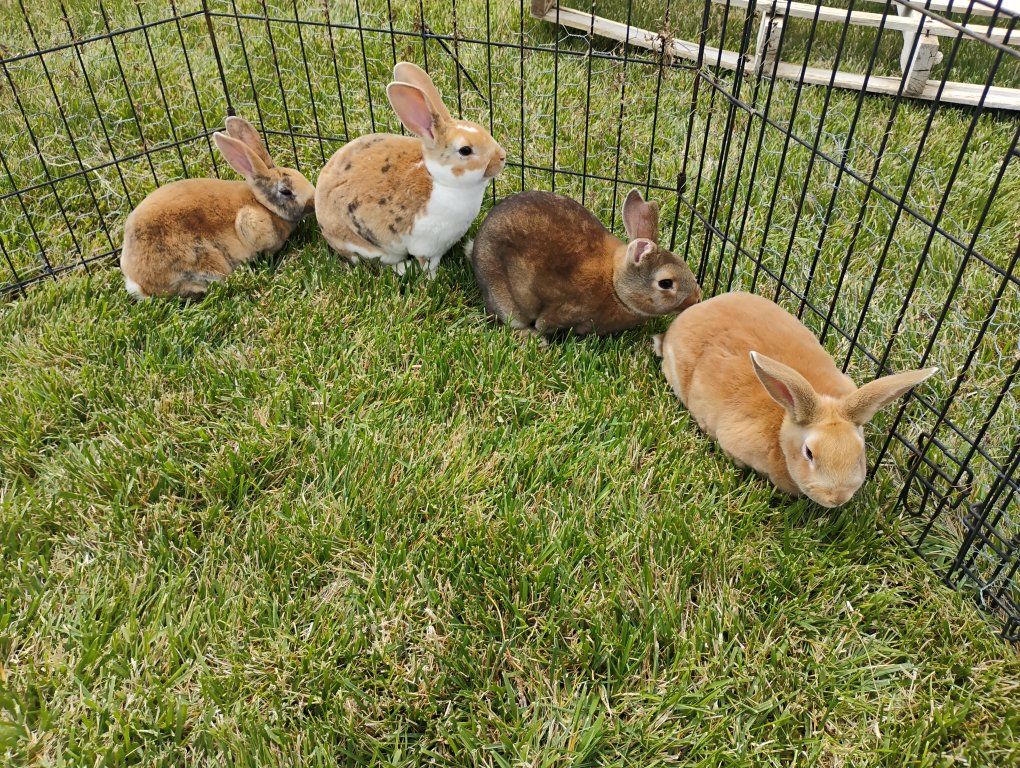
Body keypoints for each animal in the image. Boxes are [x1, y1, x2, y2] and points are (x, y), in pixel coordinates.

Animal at [315, 62, 506, 279]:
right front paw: (432, 279)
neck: (441, 181)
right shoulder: (427, 246)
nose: (502, 157)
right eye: (465, 150)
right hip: (369, 247)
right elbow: (427, 265)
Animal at [469, 189, 701, 338]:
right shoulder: (565, 311)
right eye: (666, 283)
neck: (614, 283)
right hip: (501, 292)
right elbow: (545, 322)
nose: (697, 299)